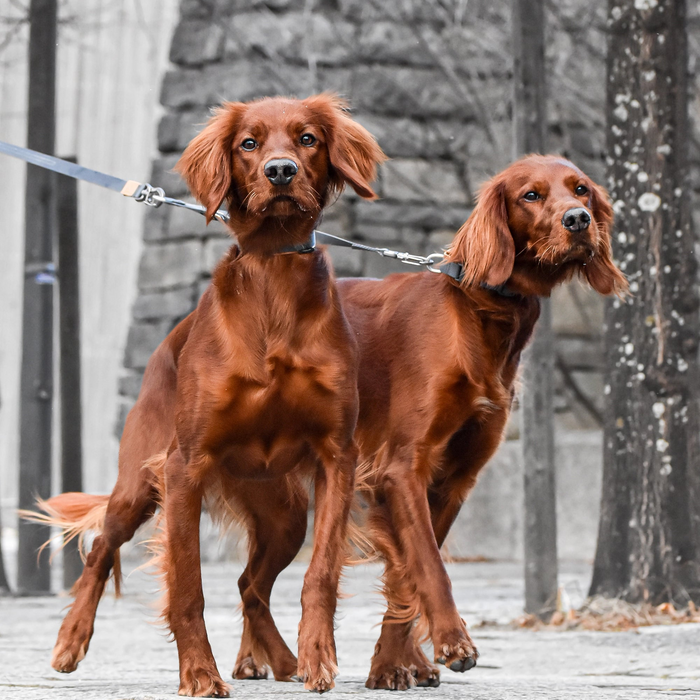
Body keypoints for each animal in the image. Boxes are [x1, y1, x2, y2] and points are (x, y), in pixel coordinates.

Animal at [27, 95, 386, 696]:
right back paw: (69, 641)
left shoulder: (338, 456)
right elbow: (187, 588)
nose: (281, 171)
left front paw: (318, 657)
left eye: (307, 139)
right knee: (102, 550)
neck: (272, 275)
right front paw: (198, 672)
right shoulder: (185, 468)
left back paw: (281, 659)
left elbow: (320, 575)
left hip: (284, 516)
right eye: (249, 143)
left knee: (249, 585)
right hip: (139, 486)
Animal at [336, 154, 628, 688]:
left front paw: (391, 664)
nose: (579, 220)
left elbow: (406, 575)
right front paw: (453, 643)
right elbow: (430, 565)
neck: (479, 315)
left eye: (580, 189)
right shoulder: (401, 468)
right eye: (530, 195)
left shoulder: (453, 479)